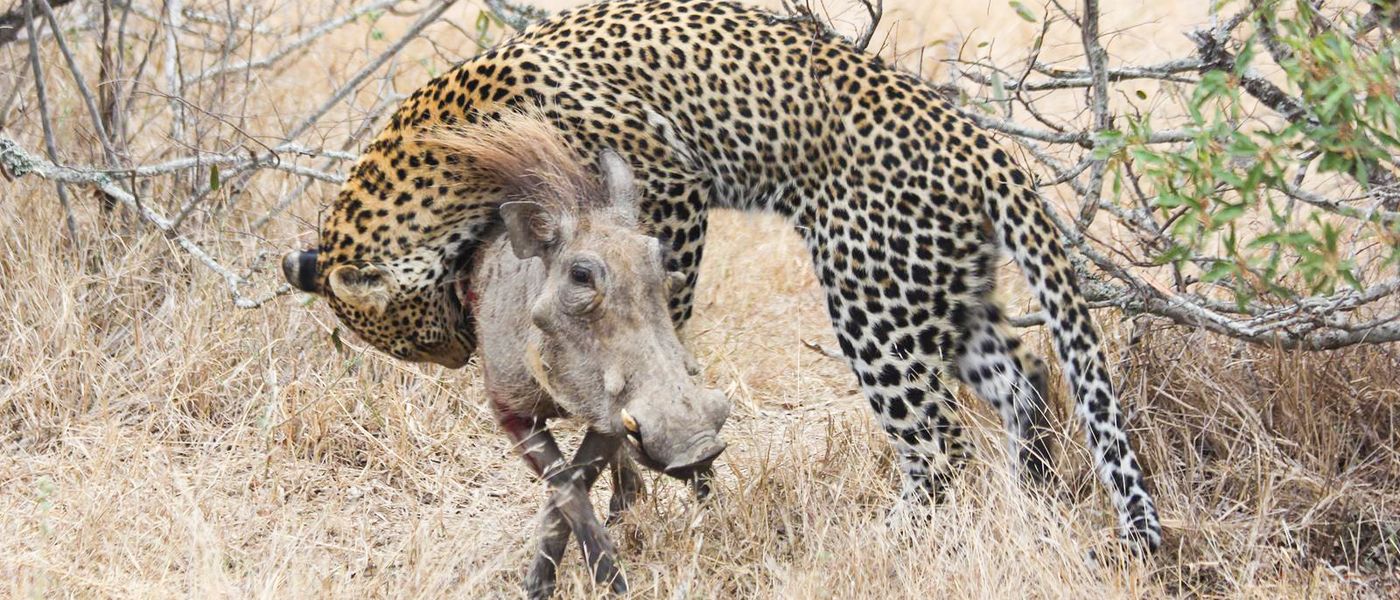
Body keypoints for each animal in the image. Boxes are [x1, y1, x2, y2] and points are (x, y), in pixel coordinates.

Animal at [281, 0, 1163, 553]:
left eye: (414, 338)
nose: (460, 353)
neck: (435, 149)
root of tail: (982, 145)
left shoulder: (668, 182)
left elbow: (657, 293)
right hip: (937, 286)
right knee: (1027, 376)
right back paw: (1026, 500)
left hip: (872, 297)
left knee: (938, 436)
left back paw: (895, 535)